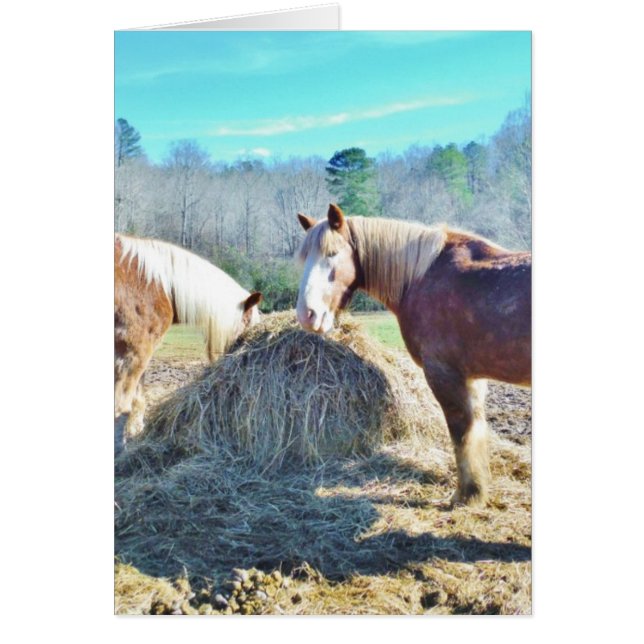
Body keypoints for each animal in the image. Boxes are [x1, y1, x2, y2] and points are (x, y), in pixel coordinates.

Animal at [295, 204, 531, 506]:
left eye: (332, 254)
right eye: (305, 258)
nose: (307, 314)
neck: (422, 276)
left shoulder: (444, 374)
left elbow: (461, 433)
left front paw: (466, 495)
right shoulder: (473, 378)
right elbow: (476, 430)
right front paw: (476, 490)